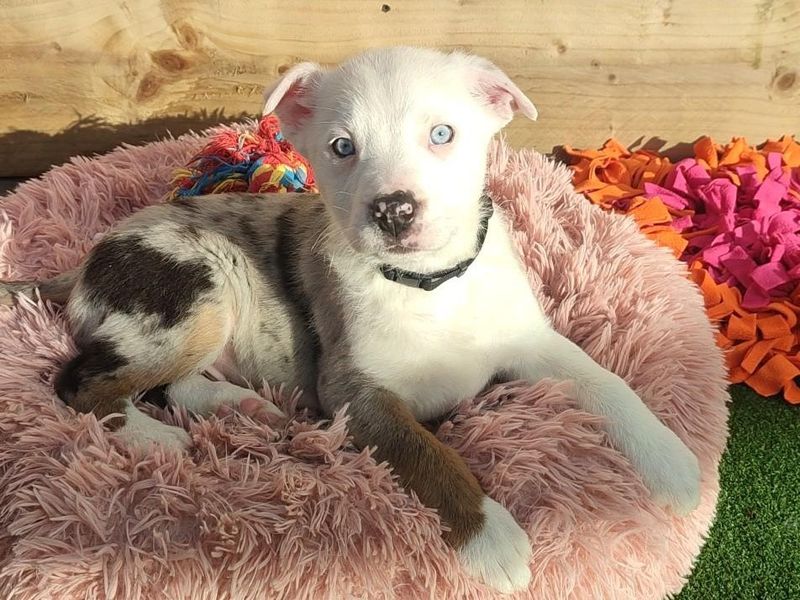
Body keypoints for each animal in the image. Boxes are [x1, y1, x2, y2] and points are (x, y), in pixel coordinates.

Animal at [1, 48, 700, 596]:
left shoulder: (531, 339)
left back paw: (244, 409)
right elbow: (426, 451)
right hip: (197, 289)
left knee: (173, 382)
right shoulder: (354, 391)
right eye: (342, 148)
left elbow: (606, 381)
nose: (393, 209)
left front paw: (672, 463)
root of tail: (82, 264)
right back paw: (156, 439)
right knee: (82, 383)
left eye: (442, 134)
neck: (427, 284)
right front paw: (493, 538)